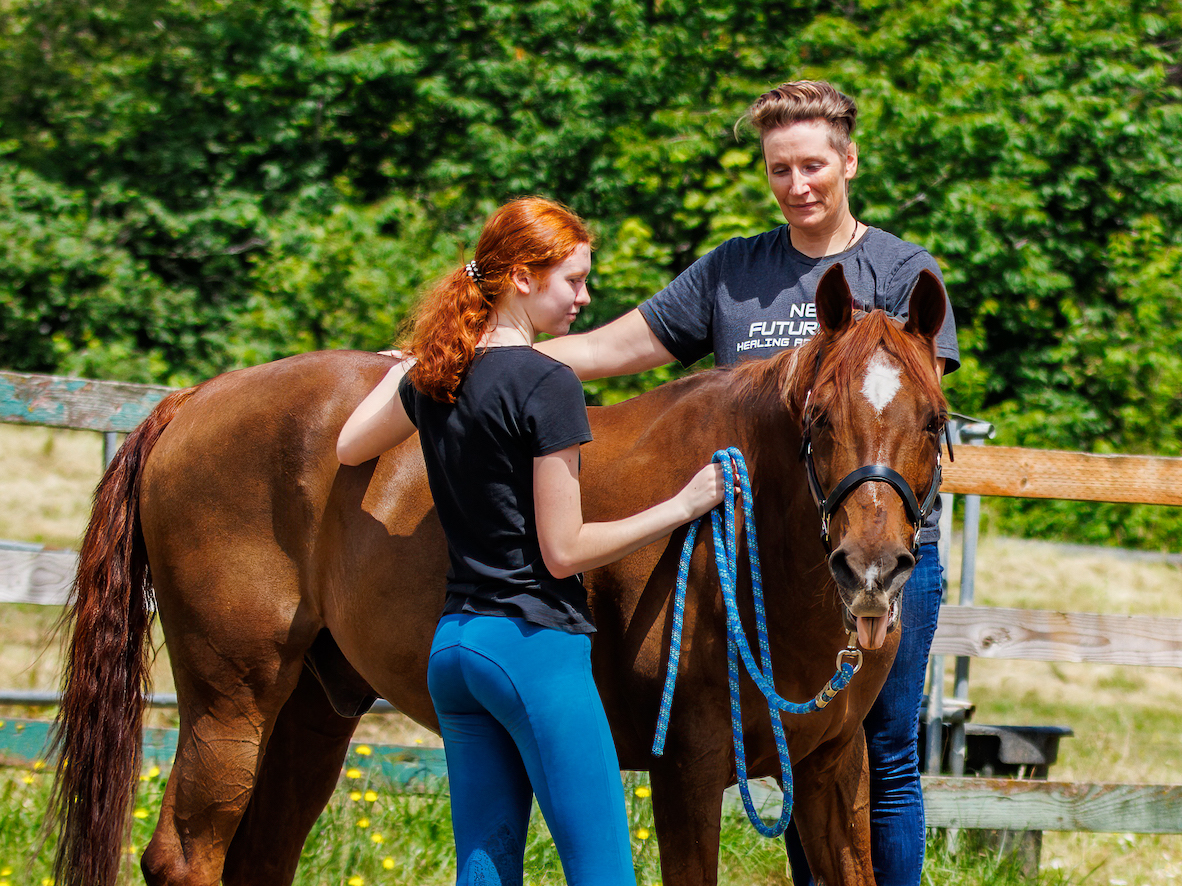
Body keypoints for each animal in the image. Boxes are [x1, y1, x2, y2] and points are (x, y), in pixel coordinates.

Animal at [50, 264, 948, 886]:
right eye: (818, 418)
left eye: (934, 420)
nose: (871, 568)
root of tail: (193, 400)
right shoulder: (687, 772)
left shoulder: (832, 770)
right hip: (231, 703)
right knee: (184, 856)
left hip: (314, 709)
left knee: (261, 857)